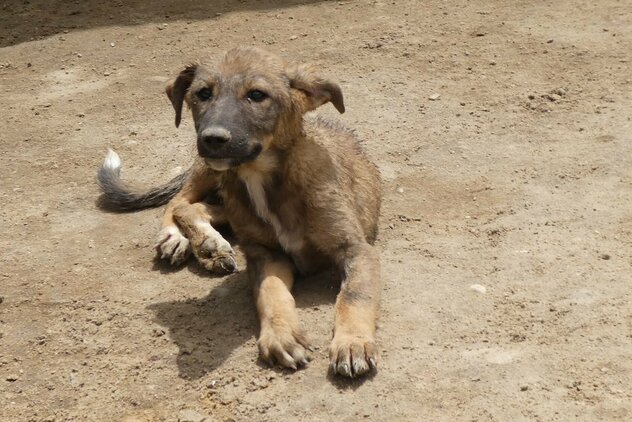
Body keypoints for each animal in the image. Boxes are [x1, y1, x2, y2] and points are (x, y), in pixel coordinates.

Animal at [98, 47, 382, 380]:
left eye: (257, 95)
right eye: (202, 93)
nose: (212, 138)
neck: (262, 178)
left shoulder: (357, 249)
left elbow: (354, 295)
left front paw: (352, 343)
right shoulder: (265, 254)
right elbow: (270, 293)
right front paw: (281, 335)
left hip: (226, 195)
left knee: (195, 206)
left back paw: (207, 245)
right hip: (209, 172)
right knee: (179, 202)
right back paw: (189, 241)